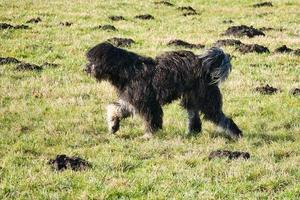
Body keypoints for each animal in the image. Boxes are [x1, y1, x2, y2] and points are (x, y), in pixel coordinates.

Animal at [85, 42, 244, 139]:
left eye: (92, 61)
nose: (85, 69)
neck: (126, 69)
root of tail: (204, 64)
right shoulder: (131, 99)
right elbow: (115, 108)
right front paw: (113, 125)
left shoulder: (146, 102)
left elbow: (151, 119)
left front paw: (149, 135)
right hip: (191, 98)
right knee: (194, 117)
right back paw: (192, 132)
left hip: (206, 99)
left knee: (222, 118)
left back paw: (236, 134)